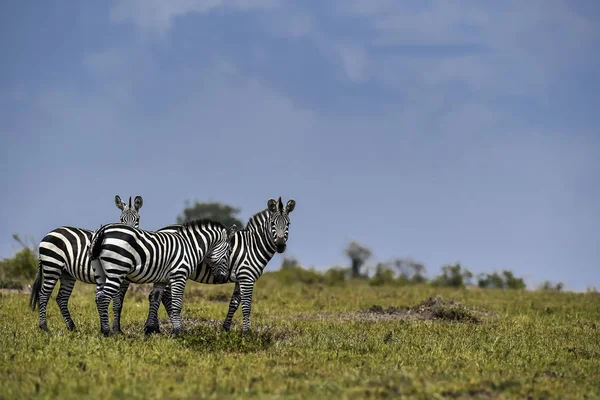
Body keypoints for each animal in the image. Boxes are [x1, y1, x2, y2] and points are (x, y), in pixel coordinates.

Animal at [29, 196, 144, 332]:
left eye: (137, 219)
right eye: (121, 219)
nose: (129, 237)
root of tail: (48, 234)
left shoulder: (125, 281)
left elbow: (119, 304)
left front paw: (117, 329)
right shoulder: (115, 276)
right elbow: (116, 303)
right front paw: (115, 329)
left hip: (66, 274)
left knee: (61, 298)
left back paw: (72, 327)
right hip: (52, 266)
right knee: (43, 295)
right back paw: (44, 327)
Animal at [88, 219, 237, 334]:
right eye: (229, 251)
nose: (222, 278)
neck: (190, 247)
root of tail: (103, 229)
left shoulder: (161, 280)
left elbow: (155, 300)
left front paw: (150, 329)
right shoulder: (179, 275)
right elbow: (177, 304)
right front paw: (177, 331)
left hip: (100, 271)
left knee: (98, 297)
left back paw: (104, 329)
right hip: (116, 270)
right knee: (103, 298)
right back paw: (107, 332)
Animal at [145, 198, 296, 334]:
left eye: (288, 224)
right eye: (273, 223)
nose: (281, 245)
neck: (253, 245)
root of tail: (160, 230)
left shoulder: (240, 279)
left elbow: (234, 304)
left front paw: (226, 329)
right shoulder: (247, 277)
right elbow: (246, 306)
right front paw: (247, 333)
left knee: (155, 295)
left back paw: (154, 328)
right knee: (164, 297)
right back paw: (162, 328)